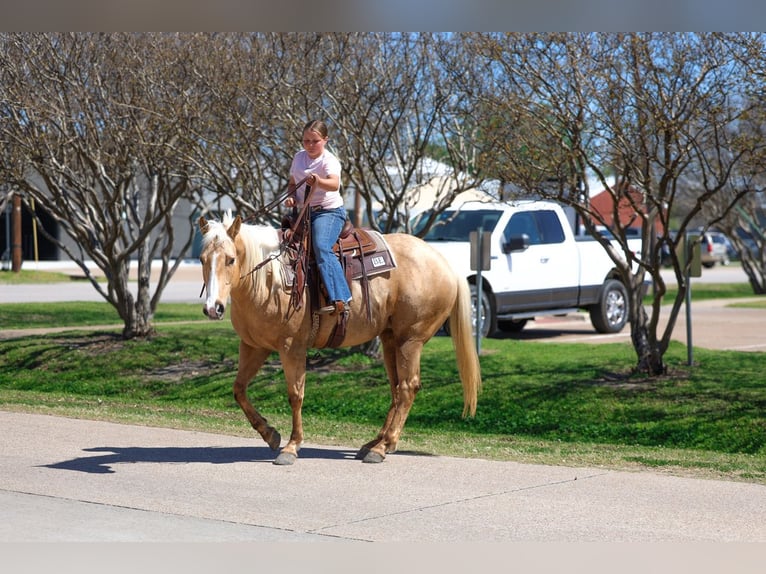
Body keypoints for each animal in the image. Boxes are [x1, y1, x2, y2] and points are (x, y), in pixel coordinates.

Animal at [198, 212, 481, 465]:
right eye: (202, 259)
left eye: (231, 260)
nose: (214, 308)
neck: (269, 279)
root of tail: (444, 262)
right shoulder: (253, 346)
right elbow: (239, 390)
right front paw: (270, 435)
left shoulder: (292, 347)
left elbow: (295, 395)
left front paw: (291, 446)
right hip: (390, 339)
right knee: (397, 388)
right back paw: (376, 443)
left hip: (410, 340)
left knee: (408, 387)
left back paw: (382, 447)